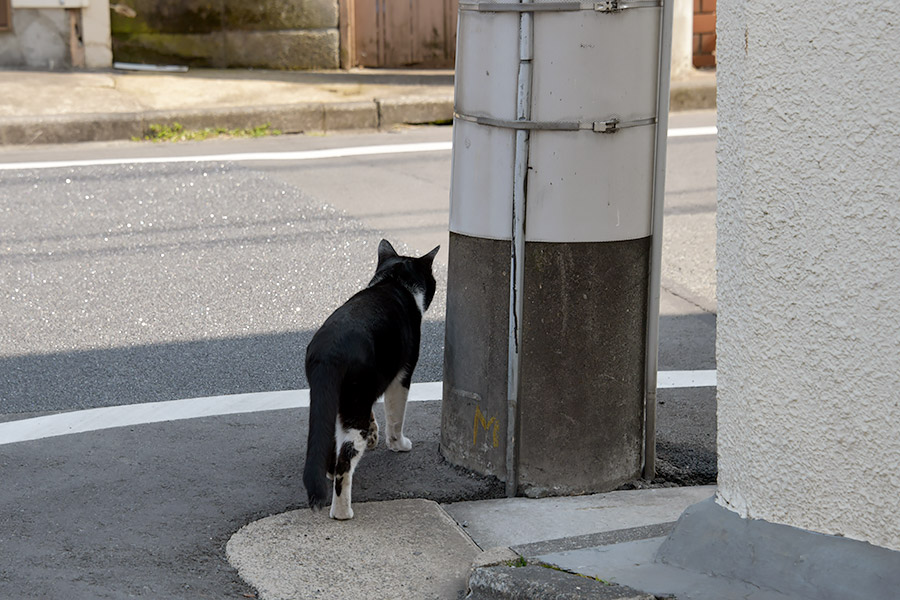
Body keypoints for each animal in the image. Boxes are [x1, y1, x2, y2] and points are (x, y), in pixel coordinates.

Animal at [304, 239, 442, 520]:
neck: (393, 282)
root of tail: (329, 351)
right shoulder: (402, 376)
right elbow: (396, 416)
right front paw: (398, 444)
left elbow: (374, 413)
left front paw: (375, 435)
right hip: (355, 402)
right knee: (345, 460)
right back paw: (342, 512)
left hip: (335, 401)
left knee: (330, 443)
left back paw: (330, 472)